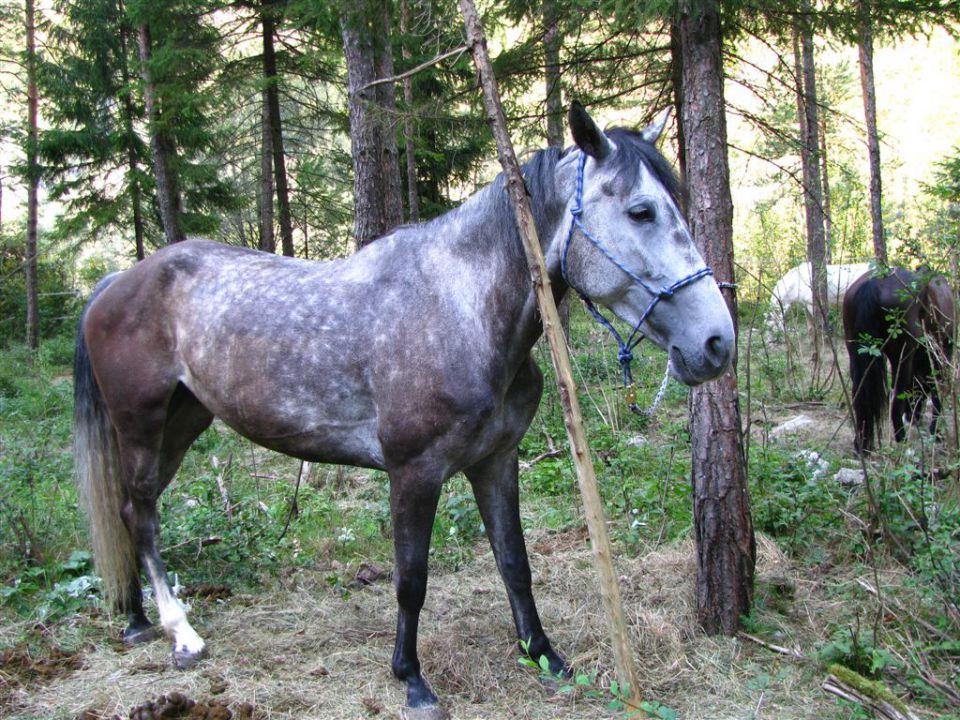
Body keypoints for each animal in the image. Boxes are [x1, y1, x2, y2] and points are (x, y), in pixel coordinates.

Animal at [840, 268, 952, 452]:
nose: (913, 418)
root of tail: (875, 281)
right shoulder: (943, 352)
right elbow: (937, 390)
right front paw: (936, 432)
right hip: (901, 356)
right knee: (896, 398)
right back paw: (901, 439)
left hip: (856, 353)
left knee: (858, 394)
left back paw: (861, 444)